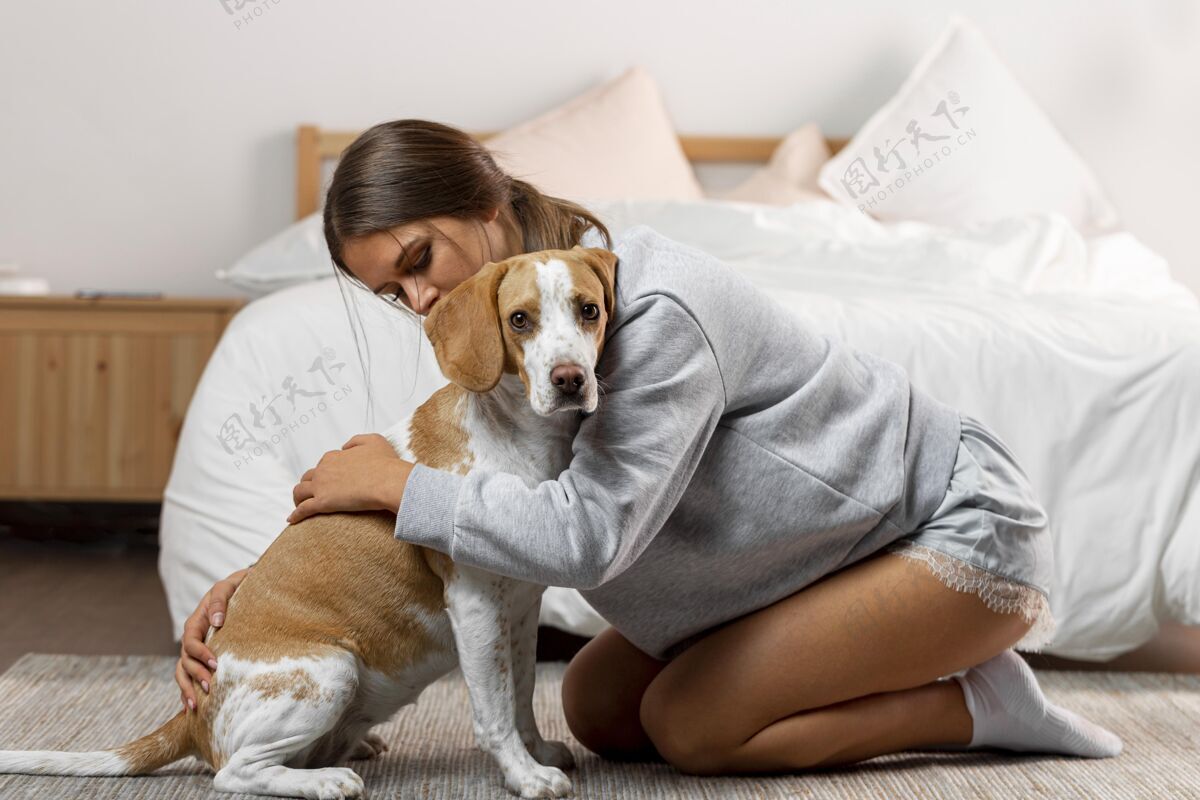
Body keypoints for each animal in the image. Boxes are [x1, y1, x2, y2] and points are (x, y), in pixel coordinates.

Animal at [0, 245, 619, 800]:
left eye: (589, 310)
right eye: (519, 320)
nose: (569, 379)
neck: (521, 442)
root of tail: (192, 717)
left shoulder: (521, 609)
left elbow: (522, 698)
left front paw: (538, 754)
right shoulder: (476, 608)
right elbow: (495, 716)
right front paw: (525, 777)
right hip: (333, 669)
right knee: (232, 772)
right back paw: (326, 781)